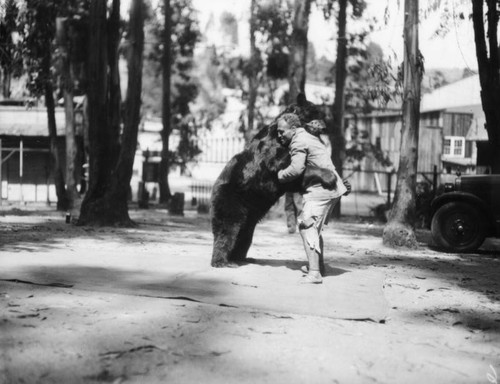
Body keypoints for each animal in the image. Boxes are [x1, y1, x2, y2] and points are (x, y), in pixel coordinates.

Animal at [210, 93, 324, 268]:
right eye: (315, 112)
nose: (324, 125)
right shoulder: (272, 153)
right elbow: (284, 166)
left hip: (250, 214)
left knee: (244, 235)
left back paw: (240, 258)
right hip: (230, 200)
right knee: (227, 228)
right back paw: (222, 261)